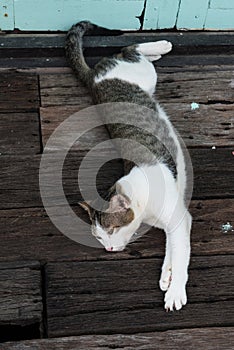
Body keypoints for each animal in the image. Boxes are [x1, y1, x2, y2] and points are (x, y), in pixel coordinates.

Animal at [65, 21, 192, 312]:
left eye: (111, 230)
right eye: (99, 237)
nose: (109, 249)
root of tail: (94, 78)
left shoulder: (179, 217)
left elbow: (180, 254)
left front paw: (175, 289)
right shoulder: (172, 221)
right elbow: (173, 248)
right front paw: (167, 275)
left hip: (142, 74)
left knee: (129, 49)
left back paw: (160, 46)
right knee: (126, 51)